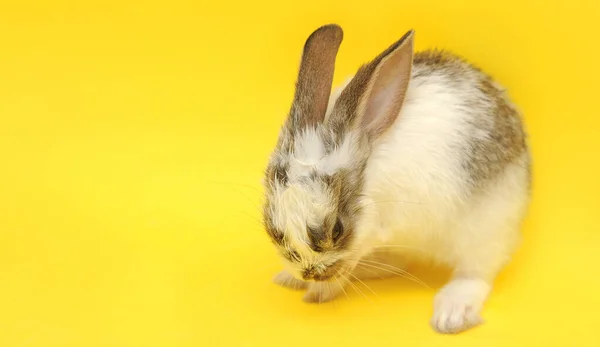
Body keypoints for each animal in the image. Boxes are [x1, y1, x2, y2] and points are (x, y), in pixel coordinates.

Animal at [262, 24, 528, 334]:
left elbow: (347, 262)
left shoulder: (377, 230)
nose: (309, 273)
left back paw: (452, 314)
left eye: (337, 229)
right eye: (274, 228)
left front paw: (322, 290)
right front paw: (298, 280)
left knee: (475, 274)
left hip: (486, 232)